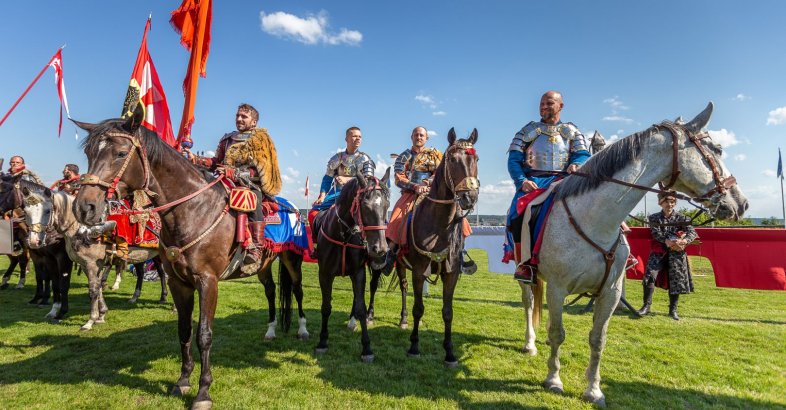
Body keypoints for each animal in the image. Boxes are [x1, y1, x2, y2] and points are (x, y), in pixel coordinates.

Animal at [72, 109, 306, 410]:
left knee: (297, 291)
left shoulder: (208, 281)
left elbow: (204, 335)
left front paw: (203, 392)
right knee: (271, 291)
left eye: (121, 153)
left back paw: (302, 330)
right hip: (264, 266)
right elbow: (184, 330)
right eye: (89, 152)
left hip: (292, 259)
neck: (192, 210)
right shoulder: (178, 282)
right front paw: (182, 381)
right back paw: (271, 330)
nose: (84, 208)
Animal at [310, 170, 388, 362]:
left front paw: (366, 348)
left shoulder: (358, 272)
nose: (380, 249)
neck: (343, 234)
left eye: (387, 205)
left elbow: (361, 308)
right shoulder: (325, 274)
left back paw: (358, 320)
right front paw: (322, 342)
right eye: (365, 206)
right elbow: (326, 307)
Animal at [516, 103, 744, 406]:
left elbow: (598, 339)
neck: (594, 220)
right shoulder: (557, 288)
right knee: (529, 303)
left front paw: (593, 390)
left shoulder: (611, 292)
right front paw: (554, 379)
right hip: (526, 276)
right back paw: (530, 343)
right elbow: (557, 333)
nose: (741, 202)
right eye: (717, 148)